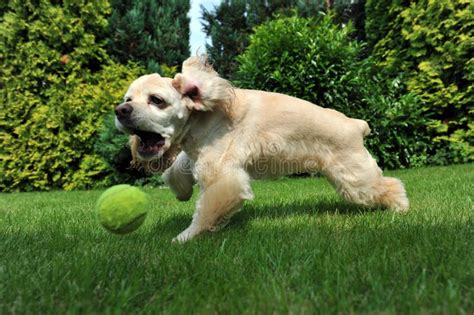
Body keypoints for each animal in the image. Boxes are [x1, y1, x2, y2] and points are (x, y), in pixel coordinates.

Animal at [115, 56, 408, 244]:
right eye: (128, 99)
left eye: (156, 100)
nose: (120, 111)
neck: (206, 116)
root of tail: (355, 124)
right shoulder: (200, 154)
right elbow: (179, 166)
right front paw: (181, 190)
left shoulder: (222, 175)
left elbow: (205, 211)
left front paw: (184, 238)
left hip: (354, 177)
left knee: (390, 185)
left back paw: (401, 209)